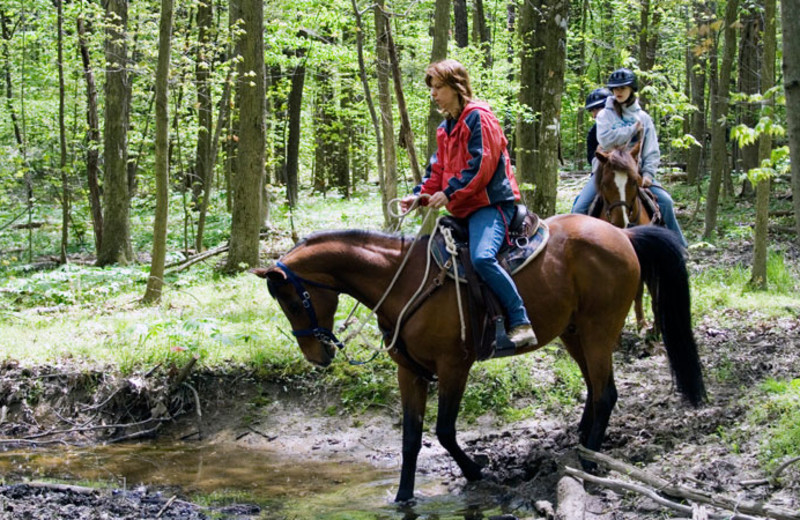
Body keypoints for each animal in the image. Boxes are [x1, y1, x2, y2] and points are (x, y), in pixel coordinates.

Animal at [253, 213, 704, 502]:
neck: (404, 282)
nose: (317, 356)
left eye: (293, 300)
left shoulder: (454, 366)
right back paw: (581, 445)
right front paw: (402, 497)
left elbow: (444, 431)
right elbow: (411, 438)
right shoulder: (409, 373)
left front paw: (475, 471)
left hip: (597, 330)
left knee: (607, 393)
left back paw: (589, 463)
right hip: (573, 332)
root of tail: (623, 236)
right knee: (595, 390)